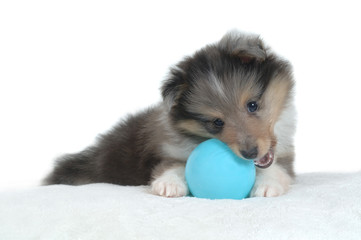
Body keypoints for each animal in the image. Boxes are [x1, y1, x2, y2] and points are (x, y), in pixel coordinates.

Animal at [43, 31, 296, 198]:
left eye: (252, 105)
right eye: (216, 122)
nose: (249, 153)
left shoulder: (284, 157)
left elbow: (277, 169)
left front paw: (266, 186)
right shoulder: (170, 151)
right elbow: (172, 166)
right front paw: (169, 184)